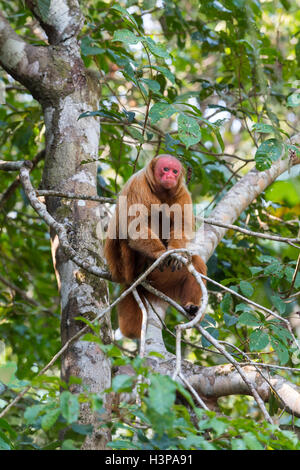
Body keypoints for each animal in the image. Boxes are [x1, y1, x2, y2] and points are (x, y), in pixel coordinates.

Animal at [105, 155, 206, 338]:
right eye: (165, 169)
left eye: (175, 171)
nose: (170, 176)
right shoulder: (138, 185)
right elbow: (136, 227)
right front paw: (160, 254)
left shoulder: (182, 193)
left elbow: (181, 228)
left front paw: (174, 255)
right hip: (124, 264)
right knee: (153, 213)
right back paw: (142, 269)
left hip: (163, 280)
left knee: (195, 263)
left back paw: (191, 307)